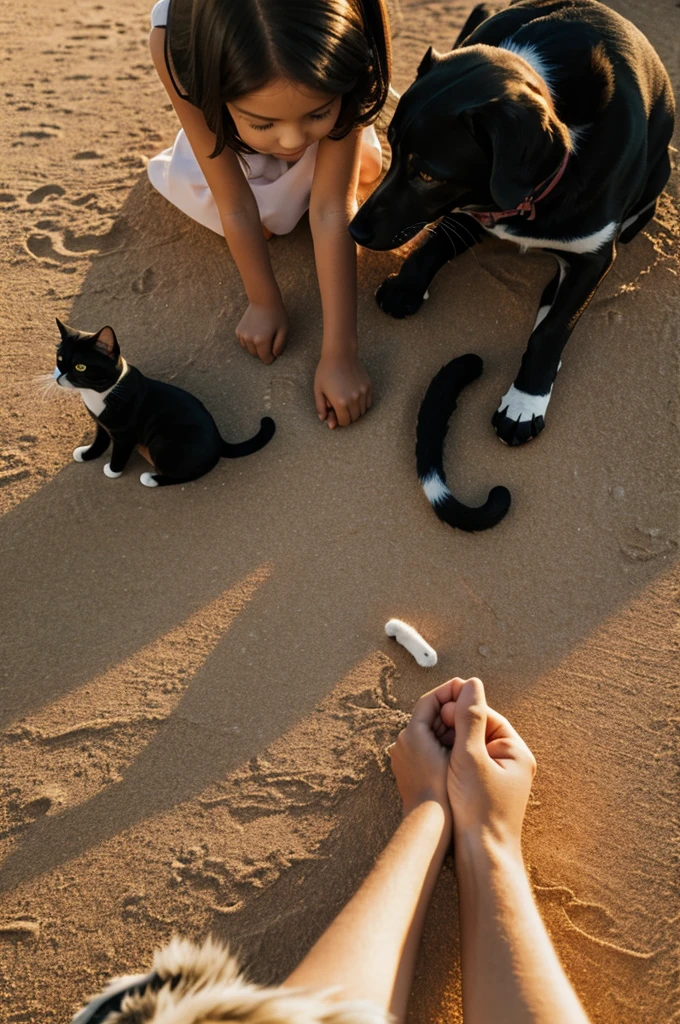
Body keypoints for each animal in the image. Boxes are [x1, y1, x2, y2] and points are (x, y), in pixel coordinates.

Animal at [53, 317, 274, 489]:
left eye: (80, 367)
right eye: (60, 359)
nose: (58, 377)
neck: (98, 394)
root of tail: (220, 440)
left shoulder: (124, 434)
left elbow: (119, 453)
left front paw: (112, 470)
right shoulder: (101, 424)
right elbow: (100, 441)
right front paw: (86, 454)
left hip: (162, 442)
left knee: (186, 474)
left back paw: (151, 479)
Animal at [350, 3, 675, 444]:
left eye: (428, 175)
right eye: (392, 148)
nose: (354, 231)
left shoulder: (593, 258)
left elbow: (551, 332)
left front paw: (525, 402)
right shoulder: (476, 204)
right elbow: (437, 241)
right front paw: (407, 285)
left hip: (656, 179)